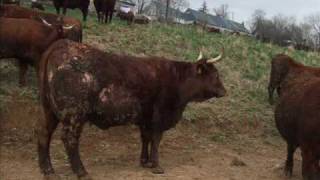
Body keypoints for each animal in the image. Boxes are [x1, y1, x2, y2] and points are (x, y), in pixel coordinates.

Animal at [37, 38, 226, 179]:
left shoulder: (146, 118)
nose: (224, 91)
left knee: (44, 134)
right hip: (74, 114)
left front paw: (145, 161)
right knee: (70, 139)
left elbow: (146, 138)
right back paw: (81, 172)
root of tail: (61, 44)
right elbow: (156, 140)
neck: (177, 79)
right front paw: (156, 165)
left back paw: (48, 171)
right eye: (216, 74)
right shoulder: (159, 117)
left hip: (49, 109)